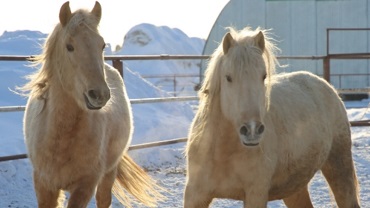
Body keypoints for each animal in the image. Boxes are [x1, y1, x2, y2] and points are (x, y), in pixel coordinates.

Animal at [21, 1, 163, 206]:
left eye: (102, 45)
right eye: (69, 46)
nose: (99, 94)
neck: (61, 138)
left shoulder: (85, 186)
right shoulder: (43, 185)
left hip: (109, 172)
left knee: (104, 199)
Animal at [184, 26, 360, 207]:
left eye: (263, 76)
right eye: (228, 77)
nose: (252, 130)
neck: (222, 152)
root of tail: (326, 86)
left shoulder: (256, 194)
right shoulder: (195, 194)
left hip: (339, 167)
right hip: (294, 188)